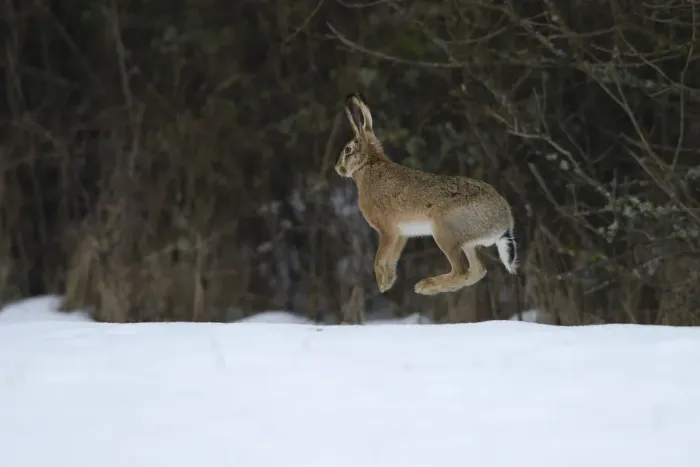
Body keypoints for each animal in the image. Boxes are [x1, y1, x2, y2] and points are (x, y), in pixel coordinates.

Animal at [335, 93, 518, 295]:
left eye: (347, 150)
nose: (338, 168)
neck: (369, 164)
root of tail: (504, 224)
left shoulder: (388, 230)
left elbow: (379, 259)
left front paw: (382, 284)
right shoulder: (401, 234)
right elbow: (392, 258)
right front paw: (389, 282)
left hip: (444, 232)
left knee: (461, 271)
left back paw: (425, 286)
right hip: (467, 242)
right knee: (477, 271)